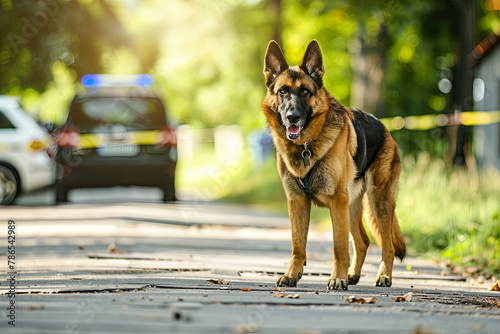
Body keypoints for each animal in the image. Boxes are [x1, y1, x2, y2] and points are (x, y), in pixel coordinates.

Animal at [262, 39, 406, 290]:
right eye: (282, 91)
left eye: (305, 92)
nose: (292, 117)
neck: (306, 145)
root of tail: (386, 129)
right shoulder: (297, 201)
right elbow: (297, 245)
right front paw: (292, 274)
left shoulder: (337, 201)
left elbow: (339, 246)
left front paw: (337, 278)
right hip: (352, 205)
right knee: (363, 241)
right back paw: (353, 275)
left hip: (378, 201)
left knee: (386, 245)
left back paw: (383, 276)